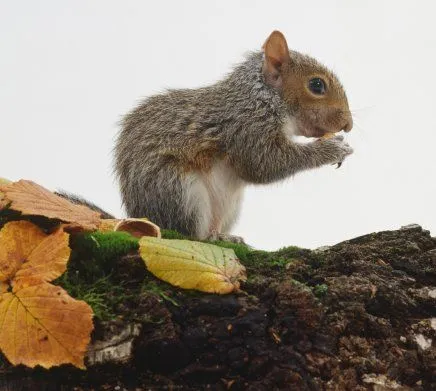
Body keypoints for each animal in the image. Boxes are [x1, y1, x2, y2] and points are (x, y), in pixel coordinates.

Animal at [111, 29, 350, 242]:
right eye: (316, 85)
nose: (348, 125)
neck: (262, 96)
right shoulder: (246, 126)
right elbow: (263, 164)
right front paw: (332, 149)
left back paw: (224, 236)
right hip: (178, 190)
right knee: (188, 232)